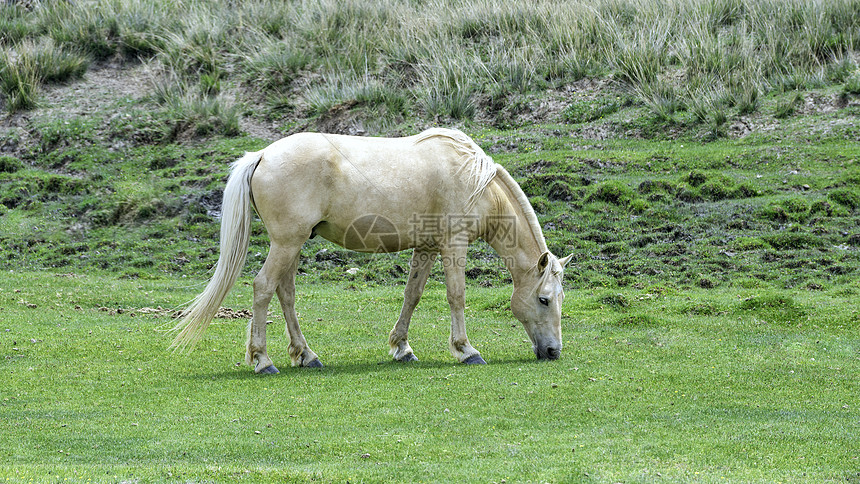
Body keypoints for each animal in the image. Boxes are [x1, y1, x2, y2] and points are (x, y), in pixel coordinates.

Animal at [171, 129, 572, 374]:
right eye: (544, 300)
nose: (554, 352)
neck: (475, 181)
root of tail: (262, 156)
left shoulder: (426, 247)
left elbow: (412, 295)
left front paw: (402, 348)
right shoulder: (453, 245)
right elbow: (456, 295)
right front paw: (466, 350)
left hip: (293, 244)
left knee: (286, 294)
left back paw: (306, 355)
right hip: (286, 244)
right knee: (263, 288)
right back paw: (263, 360)